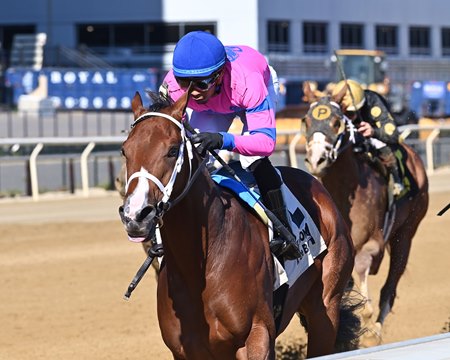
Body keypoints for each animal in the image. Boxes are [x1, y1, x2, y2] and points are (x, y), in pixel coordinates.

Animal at [118, 89, 360, 358]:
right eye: (125, 150)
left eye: (172, 150)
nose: (136, 215)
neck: (200, 267)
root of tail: (319, 189)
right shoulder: (185, 349)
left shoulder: (256, 336)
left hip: (325, 308)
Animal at [302, 82, 428, 346]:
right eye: (306, 120)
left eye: (336, 122)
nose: (317, 160)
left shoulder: (369, 244)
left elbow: (361, 277)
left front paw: (368, 330)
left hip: (406, 233)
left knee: (390, 286)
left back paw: (376, 329)